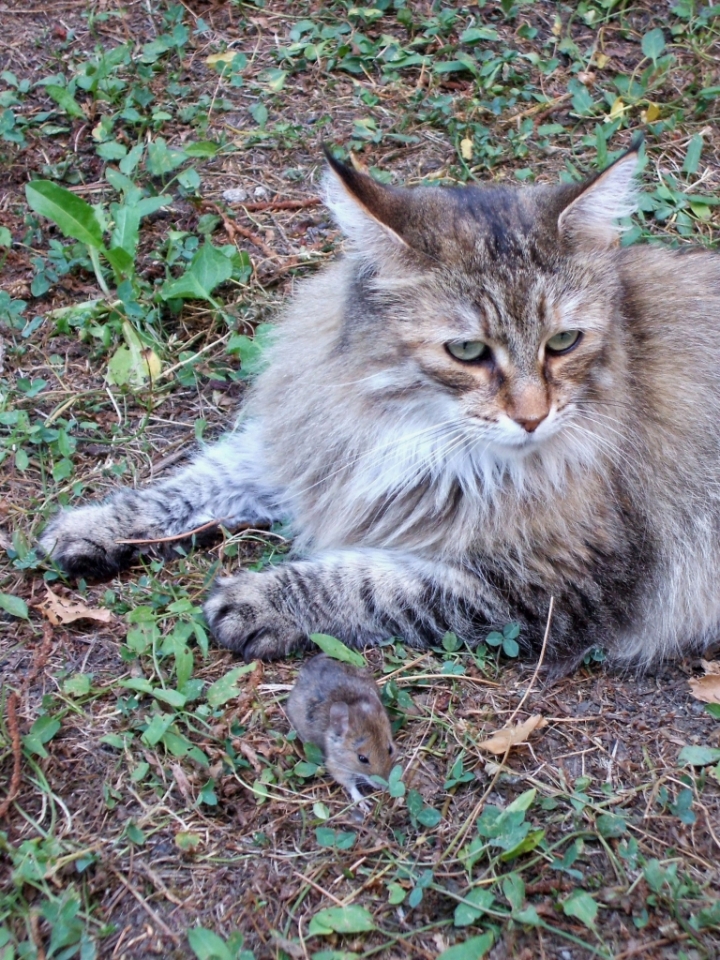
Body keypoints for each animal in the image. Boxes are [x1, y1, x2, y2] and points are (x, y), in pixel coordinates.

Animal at [38, 142, 720, 672]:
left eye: (563, 343)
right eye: (468, 350)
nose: (532, 418)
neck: (409, 430)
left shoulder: (550, 581)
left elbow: (370, 581)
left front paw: (260, 600)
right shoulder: (314, 445)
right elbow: (191, 486)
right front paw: (95, 525)